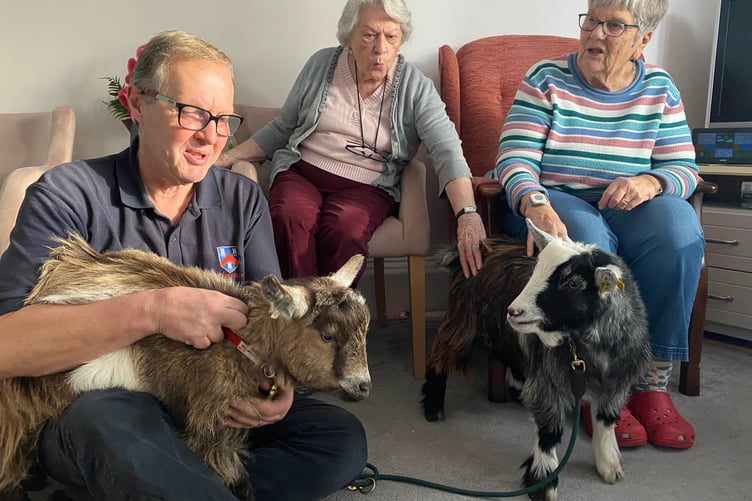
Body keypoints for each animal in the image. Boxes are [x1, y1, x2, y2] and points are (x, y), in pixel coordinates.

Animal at [422, 220, 651, 501]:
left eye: (573, 284)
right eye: (536, 271)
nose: (514, 311)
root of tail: (471, 248)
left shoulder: (618, 381)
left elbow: (607, 419)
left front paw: (609, 466)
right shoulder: (548, 383)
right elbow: (550, 433)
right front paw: (544, 484)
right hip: (463, 320)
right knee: (439, 355)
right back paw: (432, 405)